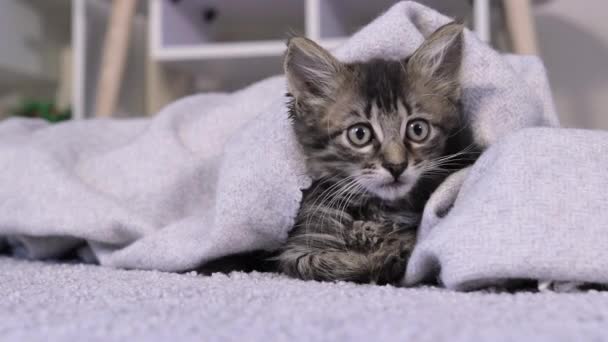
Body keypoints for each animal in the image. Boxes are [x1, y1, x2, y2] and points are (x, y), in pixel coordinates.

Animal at [278, 22, 478, 284]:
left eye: (418, 129)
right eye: (360, 134)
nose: (396, 166)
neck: (376, 209)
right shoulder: (297, 248)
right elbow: (325, 264)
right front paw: (376, 254)